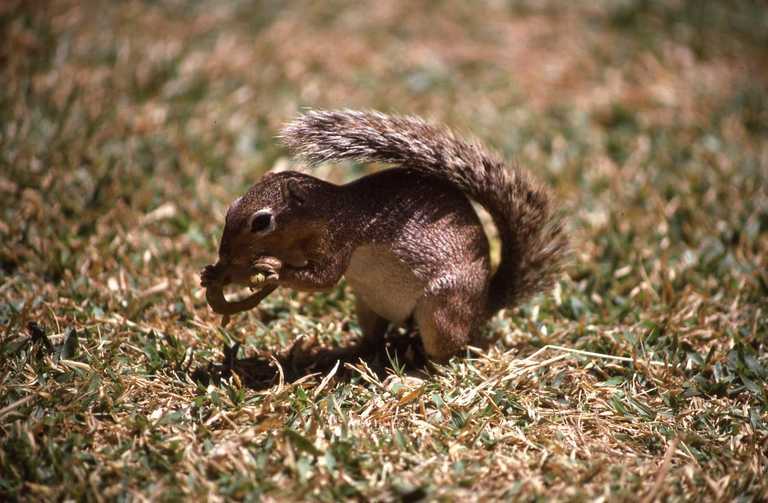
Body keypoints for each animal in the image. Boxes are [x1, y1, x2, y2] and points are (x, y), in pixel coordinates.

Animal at [201, 110, 568, 362]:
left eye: (262, 222)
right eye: (231, 206)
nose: (224, 255)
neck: (325, 210)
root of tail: (483, 306)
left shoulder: (340, 239)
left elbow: (323, 279)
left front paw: (274, 270)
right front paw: (216, 274)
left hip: (442, 308)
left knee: (446, 352)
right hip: (368, 306)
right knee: (373, 338)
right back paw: (346, 354)